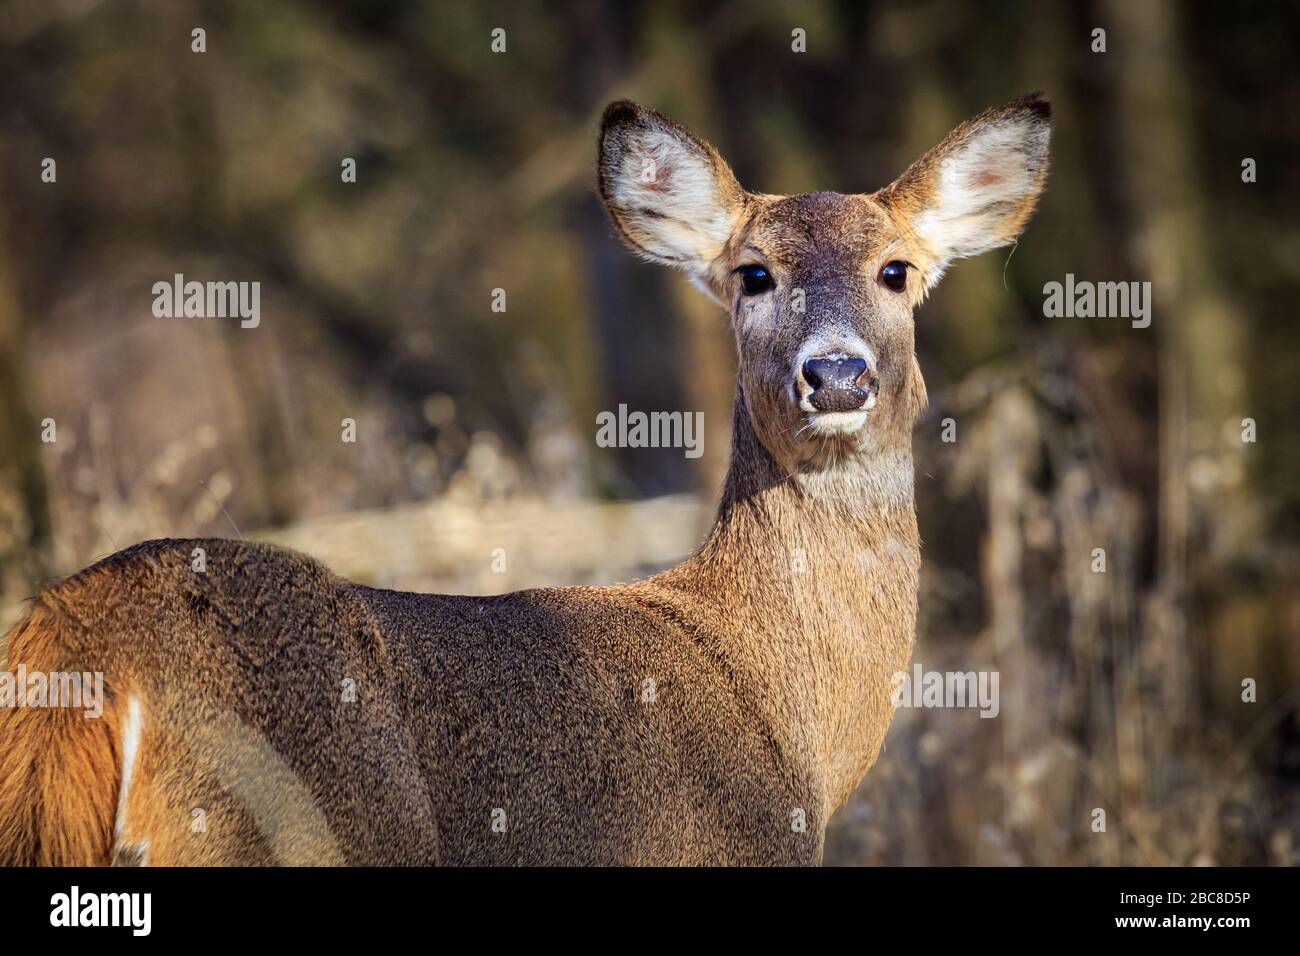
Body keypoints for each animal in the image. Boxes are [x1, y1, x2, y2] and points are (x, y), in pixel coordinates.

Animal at [0, 94, 1049, 866]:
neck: (783, 713)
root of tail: (82, 638)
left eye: (897, 269)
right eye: (753, 273)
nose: (835, 373)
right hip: (269, 827)